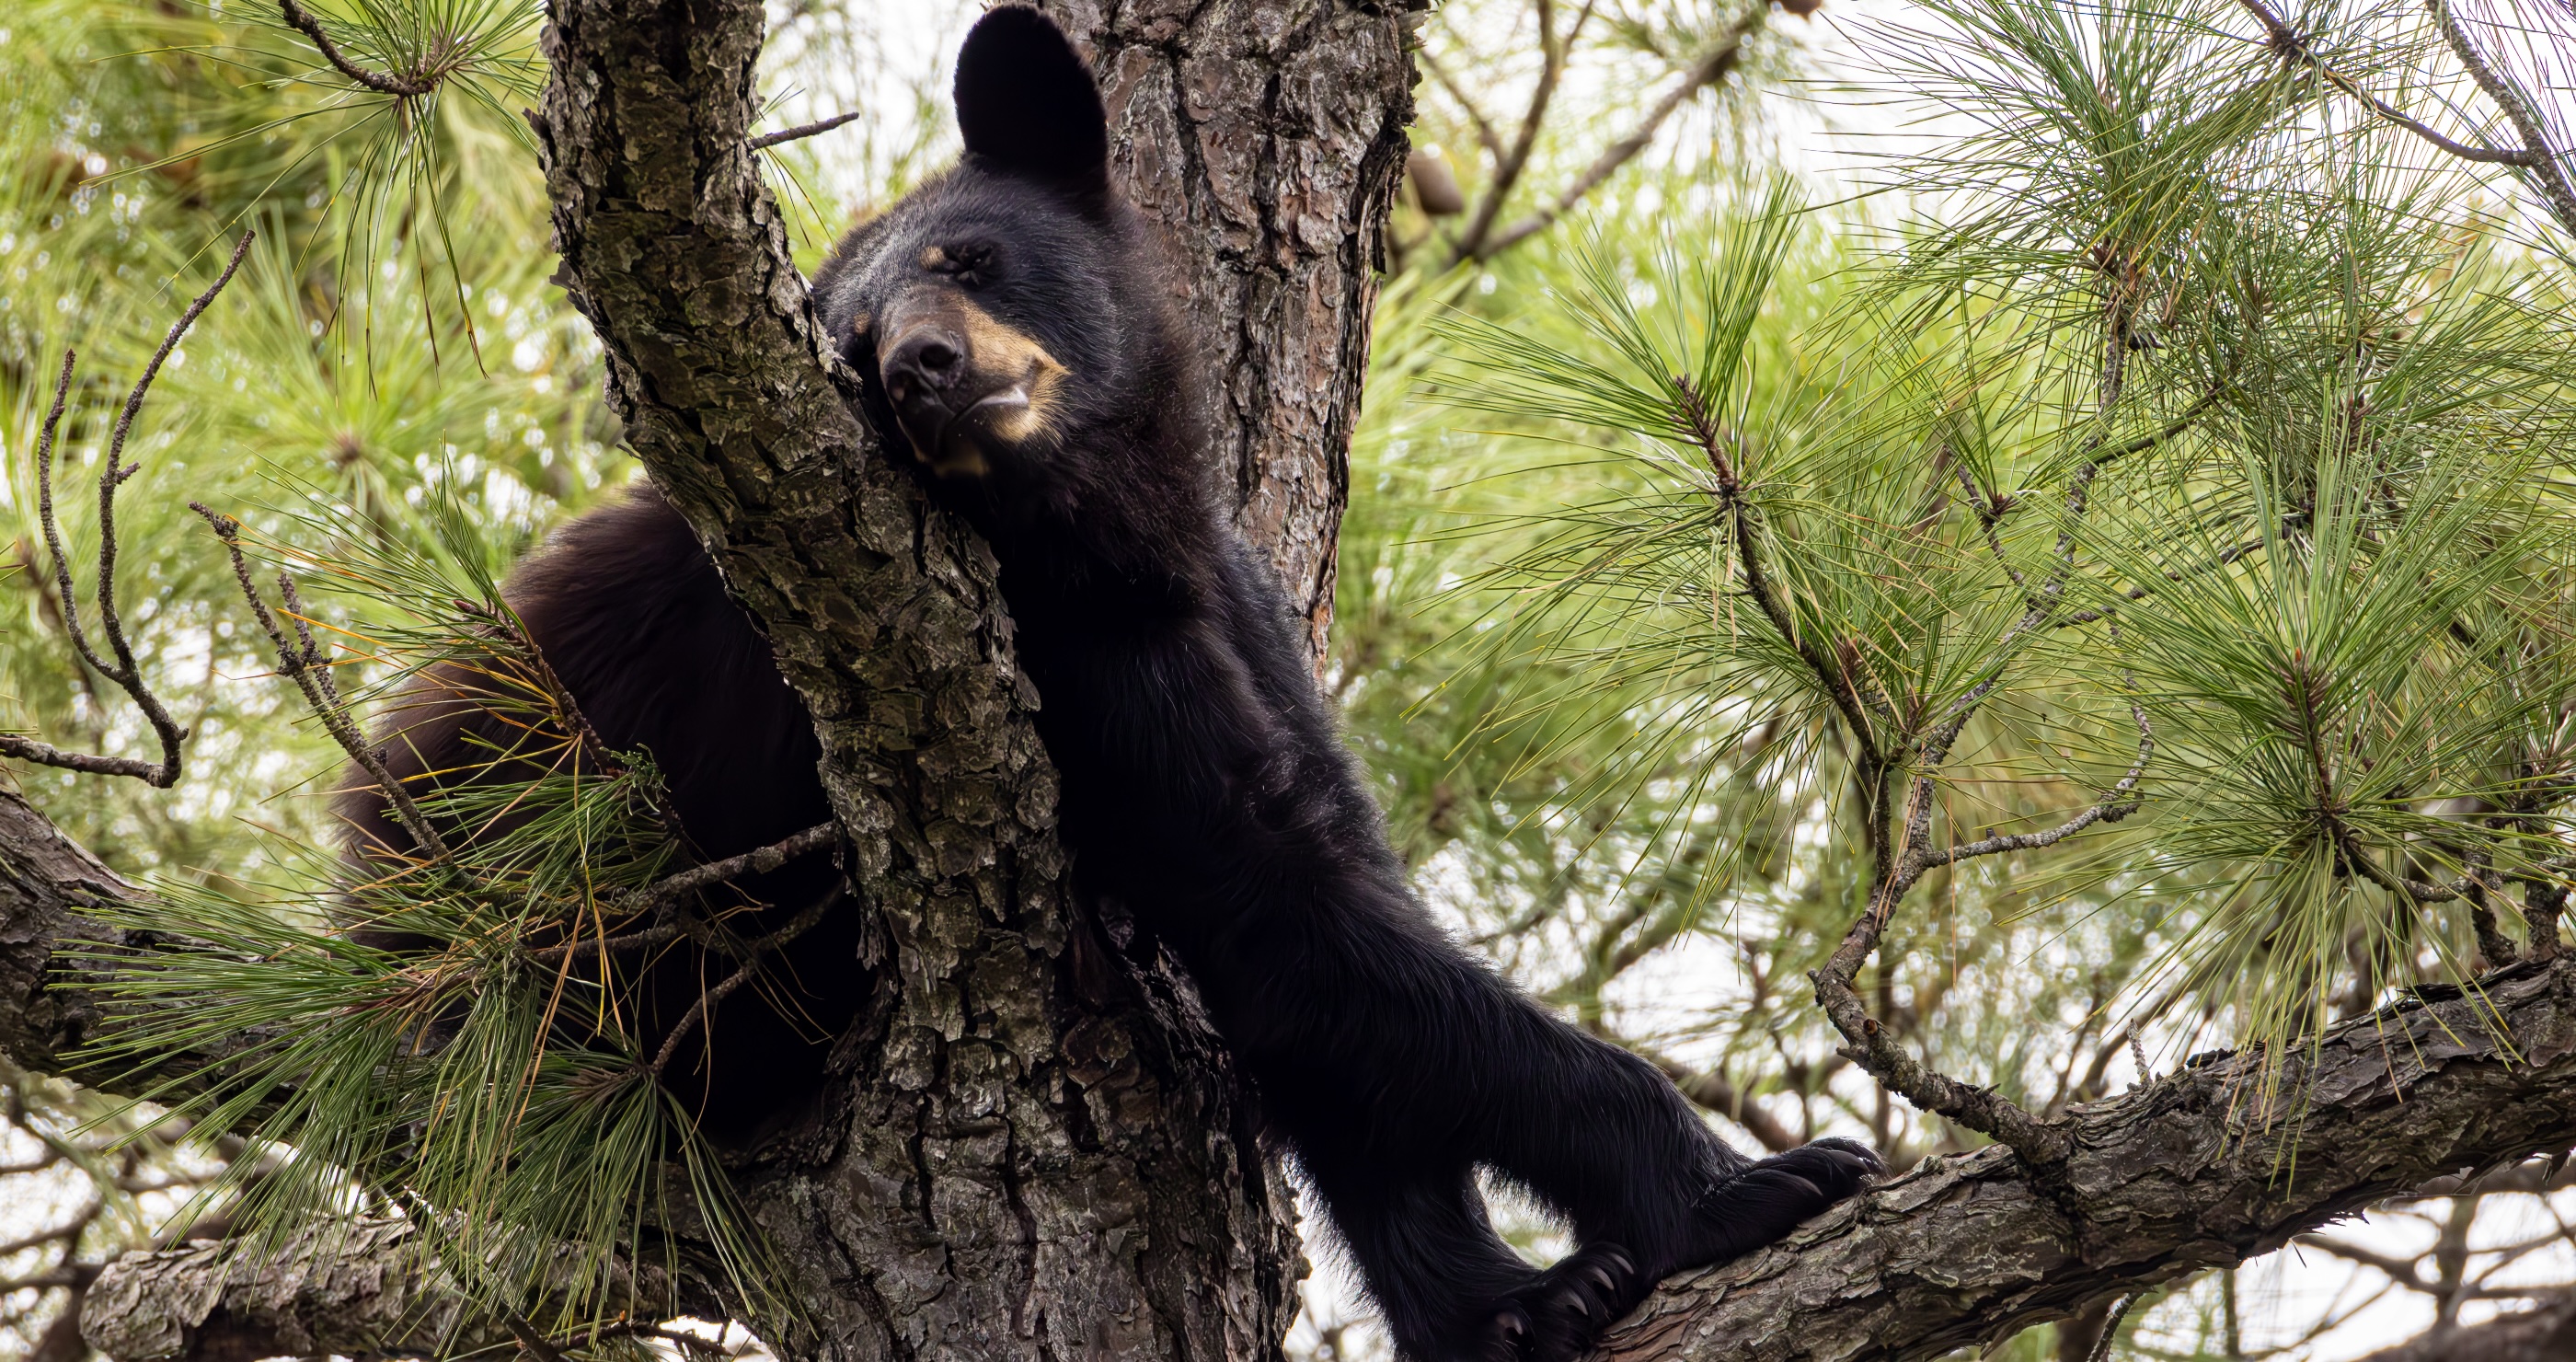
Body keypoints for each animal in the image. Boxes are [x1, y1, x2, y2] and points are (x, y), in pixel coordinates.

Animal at [340, 8, 1879, 1360]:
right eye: (847, 346)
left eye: (972, 255)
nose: (921, 368)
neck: (1106, 532)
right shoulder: (1072, 667)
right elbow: (1287, 921)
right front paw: (1741, 1186)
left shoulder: (1235, 612)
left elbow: (1322, 957)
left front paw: (1517, 1304)